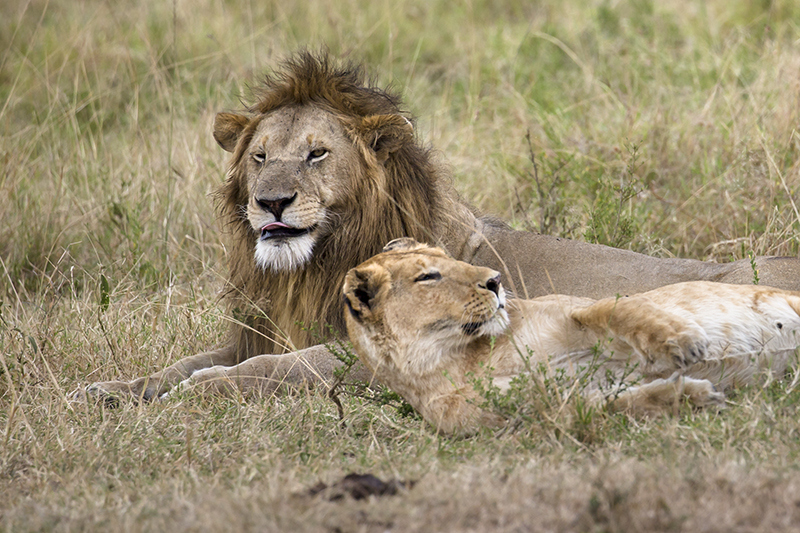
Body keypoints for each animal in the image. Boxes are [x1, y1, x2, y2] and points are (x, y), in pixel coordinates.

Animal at [86, 52, 800, 402]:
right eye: (259, 157)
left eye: (317, 154)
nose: (271, 203)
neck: (311, 268)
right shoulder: (256, 330)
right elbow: (182, 362)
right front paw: (113, 389)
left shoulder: (376, 351)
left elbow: (274, 369)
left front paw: (202, 391)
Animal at [342, 239, 800, 434]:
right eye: (428, 276)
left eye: (448, 257)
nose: (496, 280)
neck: (451, 359)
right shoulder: (549, 409)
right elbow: (622, 405)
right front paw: (694, 397)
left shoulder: (574, 307)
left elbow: (620, 310)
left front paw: (681, 342)